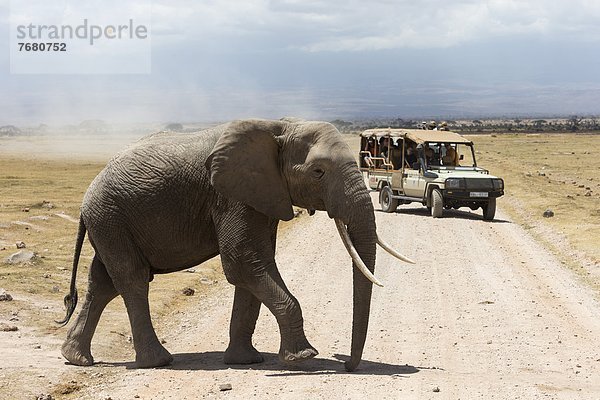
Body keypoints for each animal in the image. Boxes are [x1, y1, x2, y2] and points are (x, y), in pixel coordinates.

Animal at [57, 118, 412, 372]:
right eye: (318, 172)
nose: (349, 366)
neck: (281, 126)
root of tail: (87, 200)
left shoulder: (262, 196)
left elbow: (255, 266)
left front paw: (247, 361)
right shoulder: (230, 196)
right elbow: (243, 261)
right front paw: (303, 358)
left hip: (110, 223)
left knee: (103, 282)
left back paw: (77, 359)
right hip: (110, 216)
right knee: (132, 279)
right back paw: (159, 362)